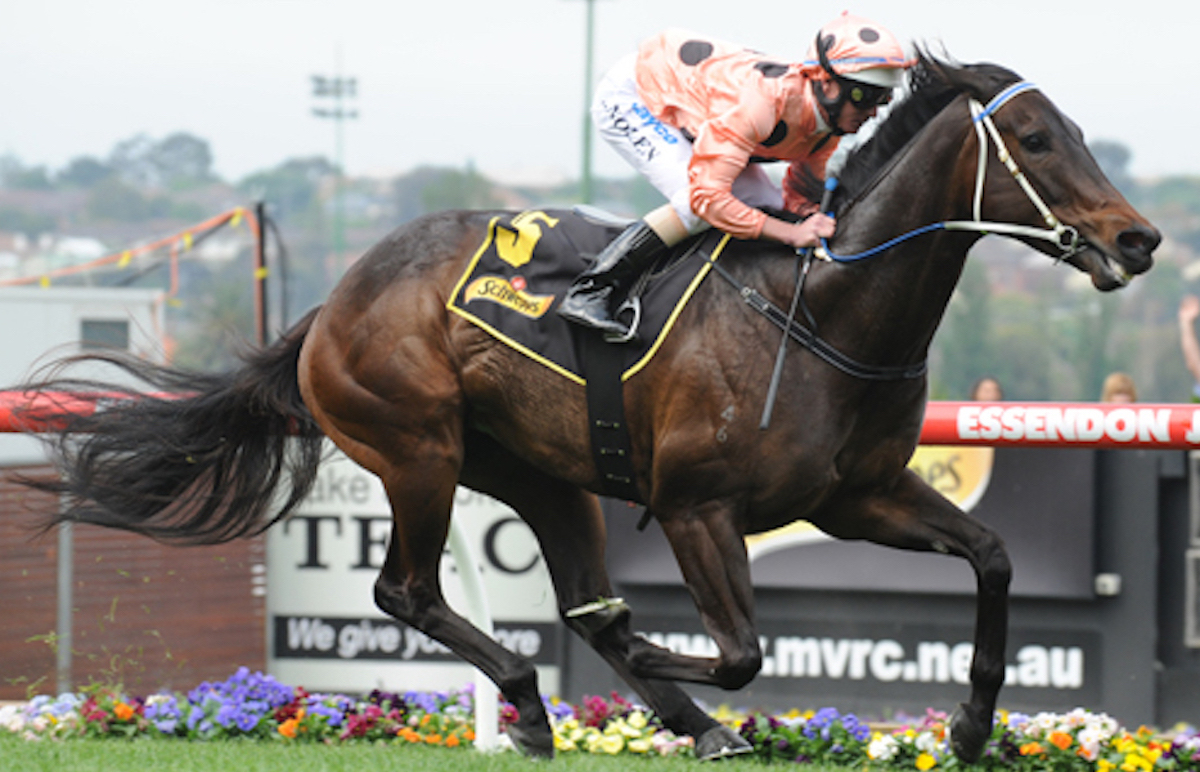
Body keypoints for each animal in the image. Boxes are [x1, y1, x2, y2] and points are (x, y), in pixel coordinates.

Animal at [16, 55, 1161, 758]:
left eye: (1077, 130)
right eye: (1035, 140)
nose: (1140, 238)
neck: (822, 308)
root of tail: (333, 302)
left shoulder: (858, 497)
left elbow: (995, 558)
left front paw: (970, 727)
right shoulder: (699, 507)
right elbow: (743, 650)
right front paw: (674, 667)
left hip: (542, 475)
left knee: (580, 601)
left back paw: (656, 714)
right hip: (418, 450)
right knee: (409, 591)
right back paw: (535, 700)